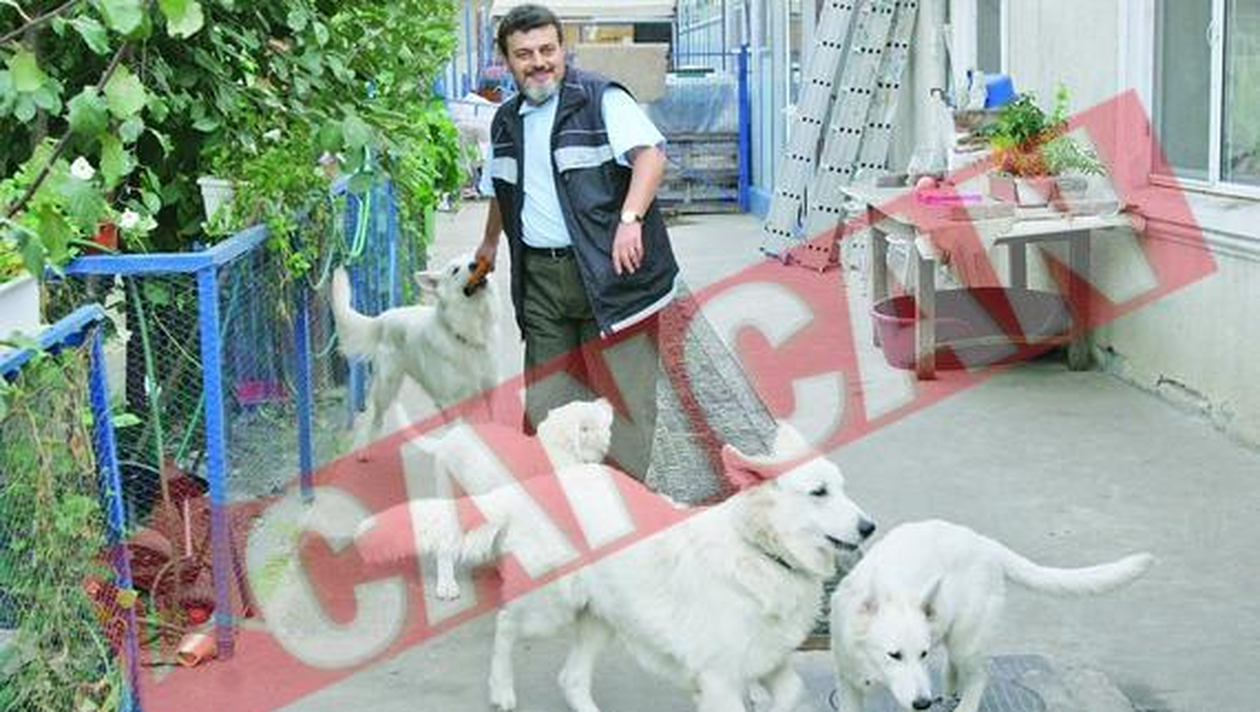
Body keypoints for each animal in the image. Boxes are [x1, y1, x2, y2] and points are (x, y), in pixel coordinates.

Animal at [331, 254, 499, 457]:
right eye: (455, 270)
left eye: (475, 257)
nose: (475, 264)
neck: (467, 334)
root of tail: (384, 316)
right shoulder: (449, 402)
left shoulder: (488, 390)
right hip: (386, 387)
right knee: (377, 418)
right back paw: (367, 450)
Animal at [354, 399, 615, 600]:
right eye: (591, 421)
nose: (606, 402)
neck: (552, 452)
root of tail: (447, 439)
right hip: (449, 489)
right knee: (445, 545)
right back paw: (447, 584)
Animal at [486, 423, 876, 712]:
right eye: (819, 492)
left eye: (840, 487)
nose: (869, 527)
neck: (761, 552)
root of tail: (550, 478)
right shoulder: (720, 680)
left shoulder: (769, 660)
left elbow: (792, 691)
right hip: (549, 607)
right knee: (505, 626)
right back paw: (500, 689)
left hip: (600, 618)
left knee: (571, 678)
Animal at [830, 519, 1154, 712]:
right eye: (894, 655)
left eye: (922, 654)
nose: (923, 703)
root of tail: (984, 543)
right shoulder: (848, 682)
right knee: (953, 667)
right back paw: (949, 694)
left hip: (967, 640)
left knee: (979, 675)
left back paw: (964, 705)